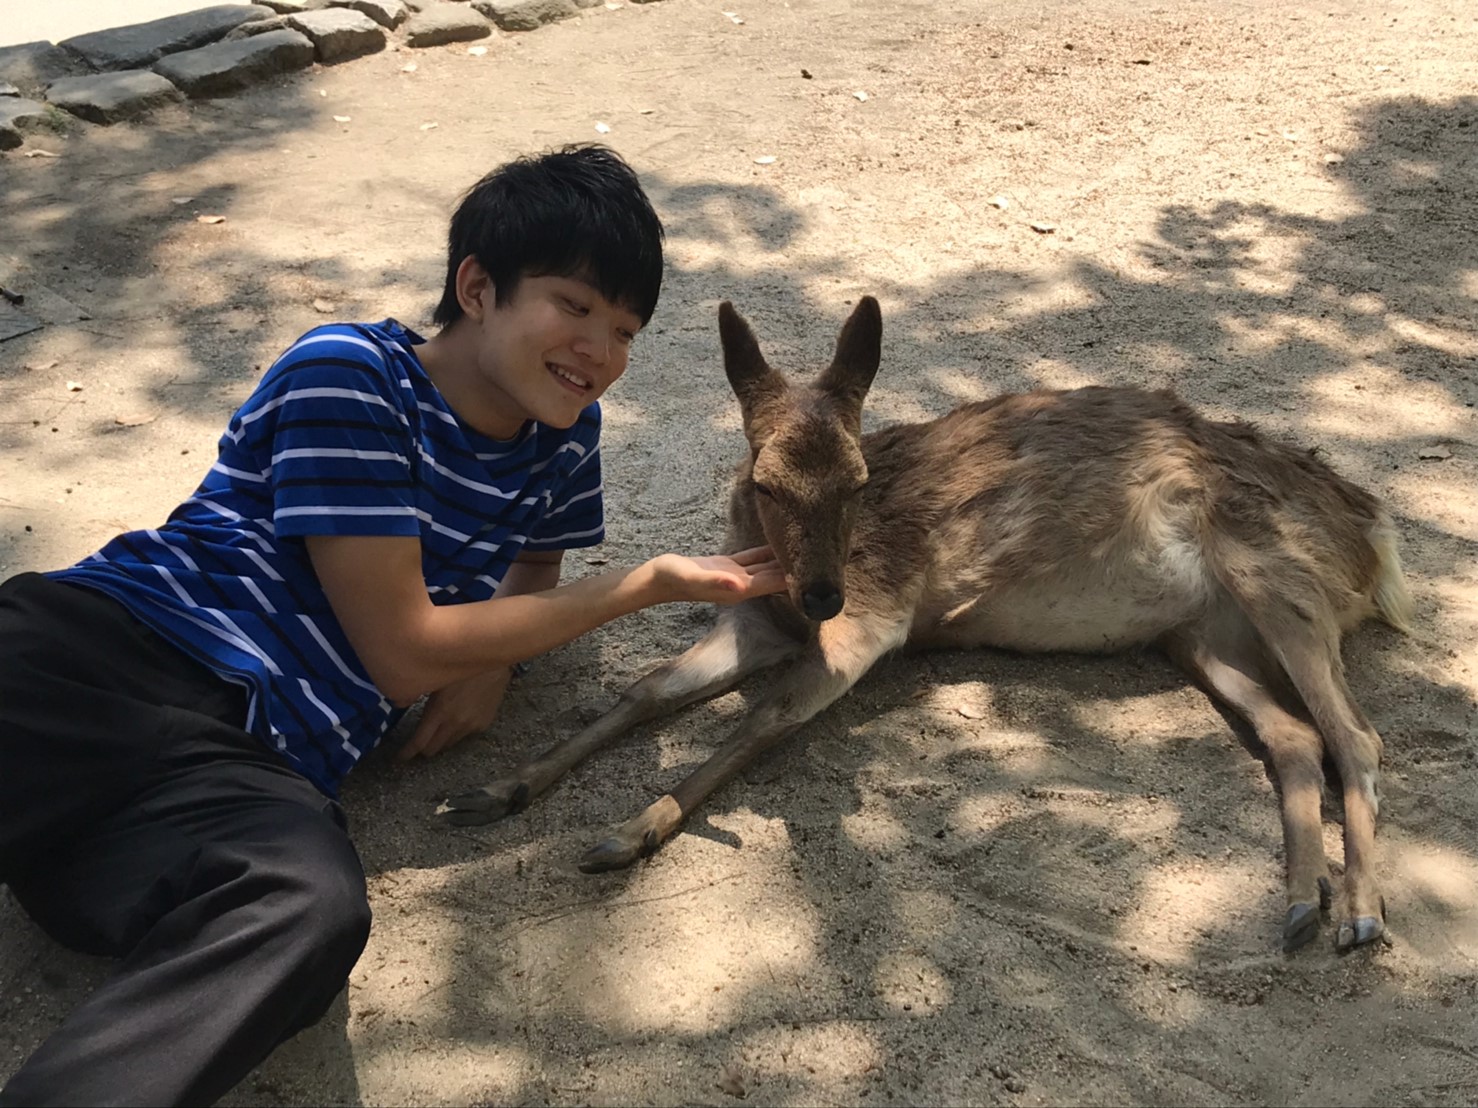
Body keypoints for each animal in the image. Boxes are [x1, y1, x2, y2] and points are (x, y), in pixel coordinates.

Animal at [434, 295, 1407, 957]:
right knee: (1294, 735)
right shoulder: (753, 618)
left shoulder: (877, 617)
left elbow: (763, 718)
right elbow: (645, 691)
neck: (786, 582)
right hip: (1205, 634)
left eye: (861, 480)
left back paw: (1360, 914)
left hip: (1274, 573)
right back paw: (1299, 904)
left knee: (1356, 734)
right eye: (765, 481)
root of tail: (1372, 538)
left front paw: (627, 834)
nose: (820, 596)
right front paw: (494, 791)